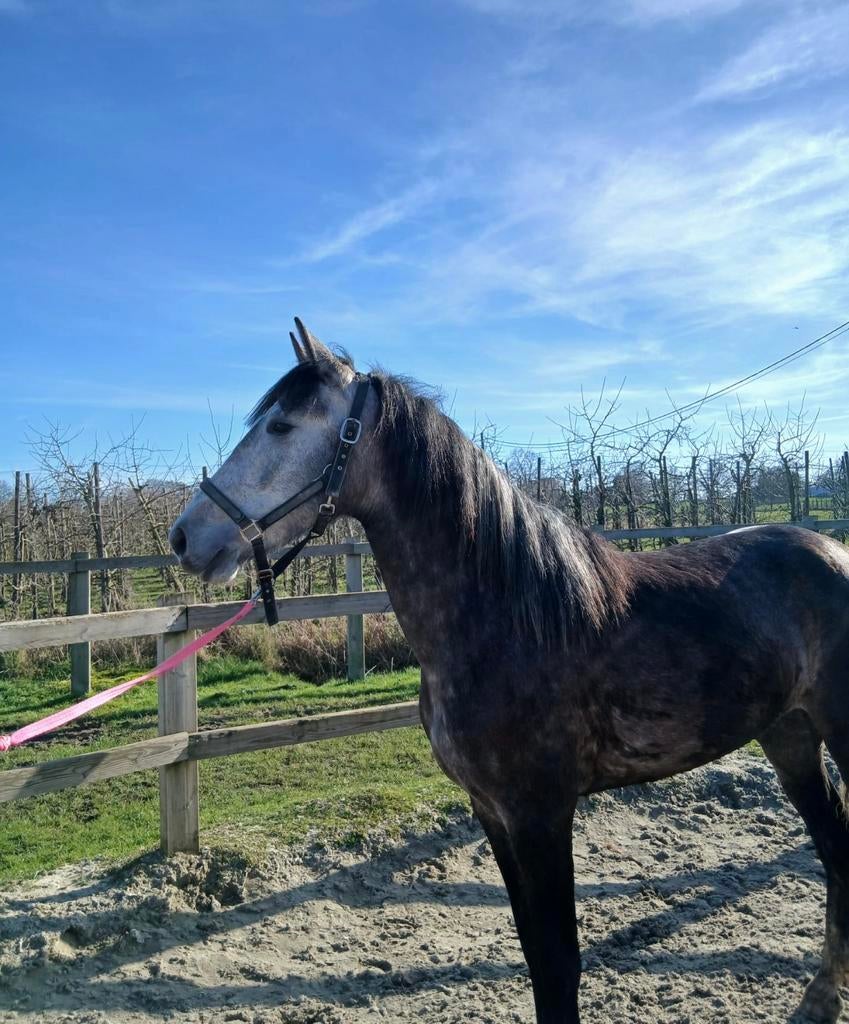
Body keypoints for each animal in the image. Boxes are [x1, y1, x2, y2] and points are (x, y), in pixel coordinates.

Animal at [169, 320, 849, 1024]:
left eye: (281, 426)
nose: (184, 537)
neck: (506, 615)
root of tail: (832, 550)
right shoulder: (493, 812)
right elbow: (533, 954)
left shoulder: (540, 814)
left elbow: (558, 964)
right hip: (788, 734)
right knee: (836, 852)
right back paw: (821, 998)